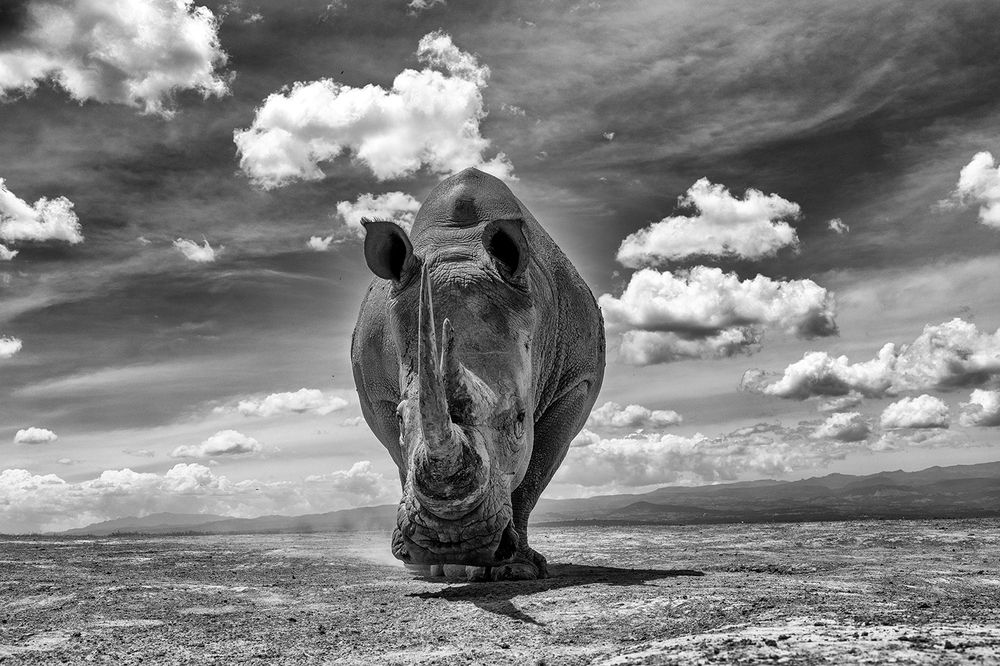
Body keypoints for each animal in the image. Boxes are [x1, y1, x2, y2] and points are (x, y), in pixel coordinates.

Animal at [351, 167, 605, 581]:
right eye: (400, 417)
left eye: (520, 419)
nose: (452, 540)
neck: (458, 247)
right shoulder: (377, 395)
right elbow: (403, 459)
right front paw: (438, 566)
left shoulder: (575, 381)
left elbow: (533, 473)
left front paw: (516, 568)